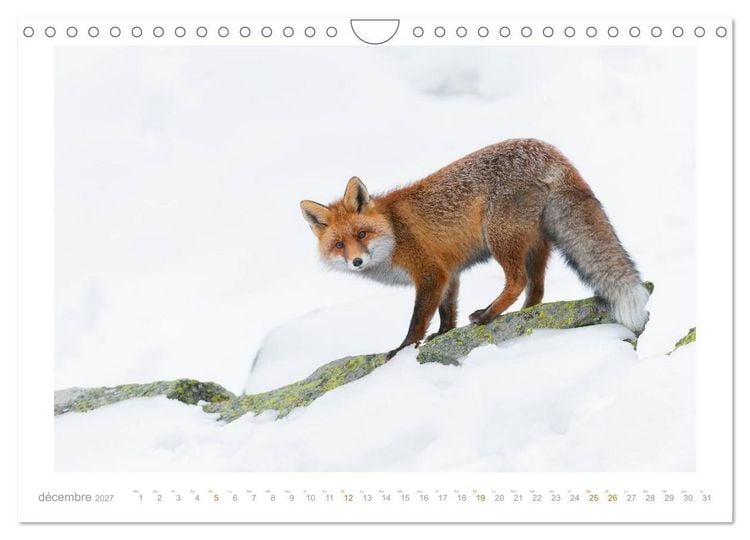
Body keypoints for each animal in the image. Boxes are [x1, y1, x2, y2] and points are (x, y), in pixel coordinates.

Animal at [300, 139, 649, 359]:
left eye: (362, 233)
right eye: (340, 244)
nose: (357, 261)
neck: (395, 232)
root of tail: (546, 148)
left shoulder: (430, 273)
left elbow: (417, 320)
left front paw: (403, 349)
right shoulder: (449, 273)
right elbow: (447, 312)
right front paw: (443, 334)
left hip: (500, 238)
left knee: (517, 281)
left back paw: (488, 315)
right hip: (535, 244)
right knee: (536, 288)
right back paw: (522, 316)